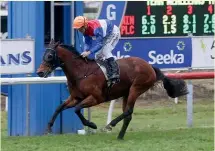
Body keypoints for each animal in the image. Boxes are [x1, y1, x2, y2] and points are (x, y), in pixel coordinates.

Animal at [37, 39, 188, 139]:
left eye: (49, 56)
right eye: (43, 55)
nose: (39, 72)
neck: (82, 72)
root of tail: (150, 66)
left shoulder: (96, 98)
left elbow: (77, 109)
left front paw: (92, 124)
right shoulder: (75, 97)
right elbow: (59, 108)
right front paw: (48, 128)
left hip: (136, 88)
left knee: (128, 111)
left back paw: (110, 125)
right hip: (127, 92)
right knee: (128, 114)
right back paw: (120, 135)